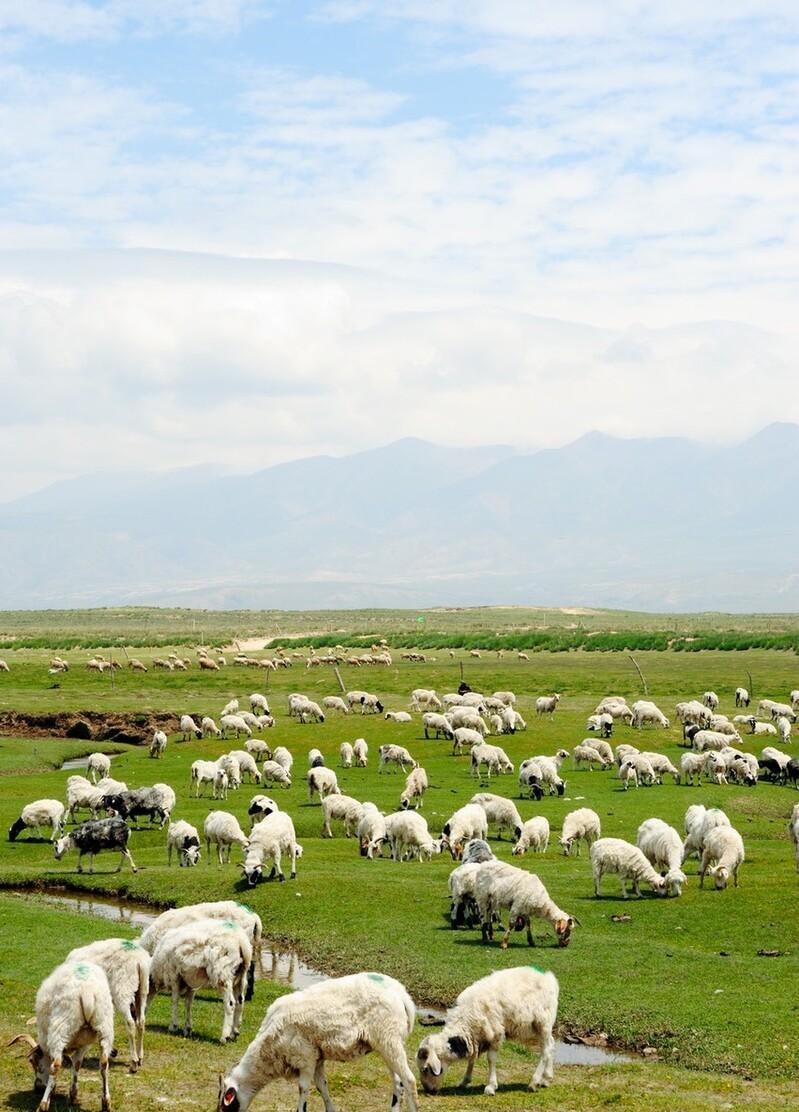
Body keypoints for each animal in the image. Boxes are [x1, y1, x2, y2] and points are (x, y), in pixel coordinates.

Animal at [10, 956, 115, 1112]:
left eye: (32, 1061)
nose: (37, 1088)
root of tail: (87, 991)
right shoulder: (84, 1044)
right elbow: (77, 1064)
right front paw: (73, 1095)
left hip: (60, 1027)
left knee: (56, 1066)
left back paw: (43, 1105)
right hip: (105, 1026)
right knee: (104, 1063)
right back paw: (106, 1103)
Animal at [148, 911, 251, 1040]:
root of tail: (241, 941)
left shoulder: (174, 975)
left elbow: (175, 1000)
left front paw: (173, 1026)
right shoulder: (190, 981)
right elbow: (188, 1003)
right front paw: (187, 1029)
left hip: (223, 973)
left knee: (230, 1003)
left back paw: (225, 1036)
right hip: (240, 976)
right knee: (240, 1002)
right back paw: (234, 1032)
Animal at [215, 974, 422, 1112]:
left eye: (225, 1105)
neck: (268, 1051)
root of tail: (403, 995)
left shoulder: (305, 1056)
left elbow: (303, 1088)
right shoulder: (317, 1057)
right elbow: (322, 1085)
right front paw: (331, 1109)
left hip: (389, 1039)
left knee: (409, 1080)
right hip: (388, 1043)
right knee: (398, 1082)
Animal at [415, 965, 560, 1094]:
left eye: (425, 1069)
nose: (428, 1091)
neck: (465, 1020)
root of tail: (548, 977)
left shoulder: (495, 1034)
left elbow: (491, 1059)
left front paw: (491, 1086)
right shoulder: (476, 1037)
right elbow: (472, 1058)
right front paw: (465, 1081)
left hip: (543, 1022)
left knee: (546, 1050)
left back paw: (534, 1082)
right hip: (537, 1026)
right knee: (551, 1044)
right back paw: (546, 1078)